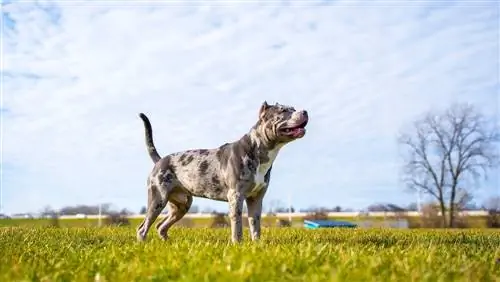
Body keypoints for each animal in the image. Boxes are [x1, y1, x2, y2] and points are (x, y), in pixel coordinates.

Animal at [137, 101, 308, 242]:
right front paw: (237, 244)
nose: (305, 111)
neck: (257, 149)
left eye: (293, 109)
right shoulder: (236, 196)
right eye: (283, 110)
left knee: (161, 226)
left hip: (181, 205)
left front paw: (257, 245)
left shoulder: (256, 198)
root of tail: (160, 160)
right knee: (142, 228)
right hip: (157, 198)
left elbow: (255, 225)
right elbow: (237, 225)